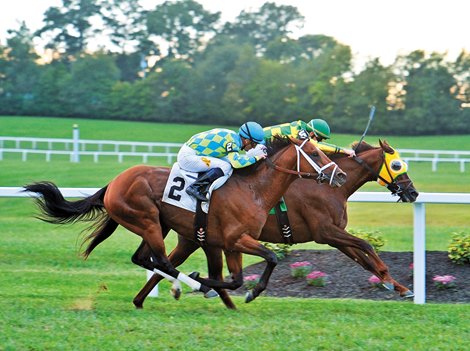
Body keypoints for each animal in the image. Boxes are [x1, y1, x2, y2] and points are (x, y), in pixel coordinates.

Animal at [25, 136, 346, 304]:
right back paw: (190, 285)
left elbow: (236, 278)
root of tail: (115, 182)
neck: (253, 189)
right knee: (162, 262)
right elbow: (271, 257)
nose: (341, 175)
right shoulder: (235, 238)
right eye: (315, 153)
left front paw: (231, 288)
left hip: (157, 224)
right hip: (147, 220)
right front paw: (243, 290)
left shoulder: (231, 243)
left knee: (145, 259)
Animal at [134, 139, 420, 310]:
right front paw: (392, 282)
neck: (329, 186)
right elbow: (367, 246)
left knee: (165, 264)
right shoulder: (326, 231)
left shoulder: (333, 236)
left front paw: (398, 286)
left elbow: (363, 259)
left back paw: (153, 296)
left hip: (194, 238)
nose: (413, 193)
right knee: (166, 263)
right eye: (397, 164)